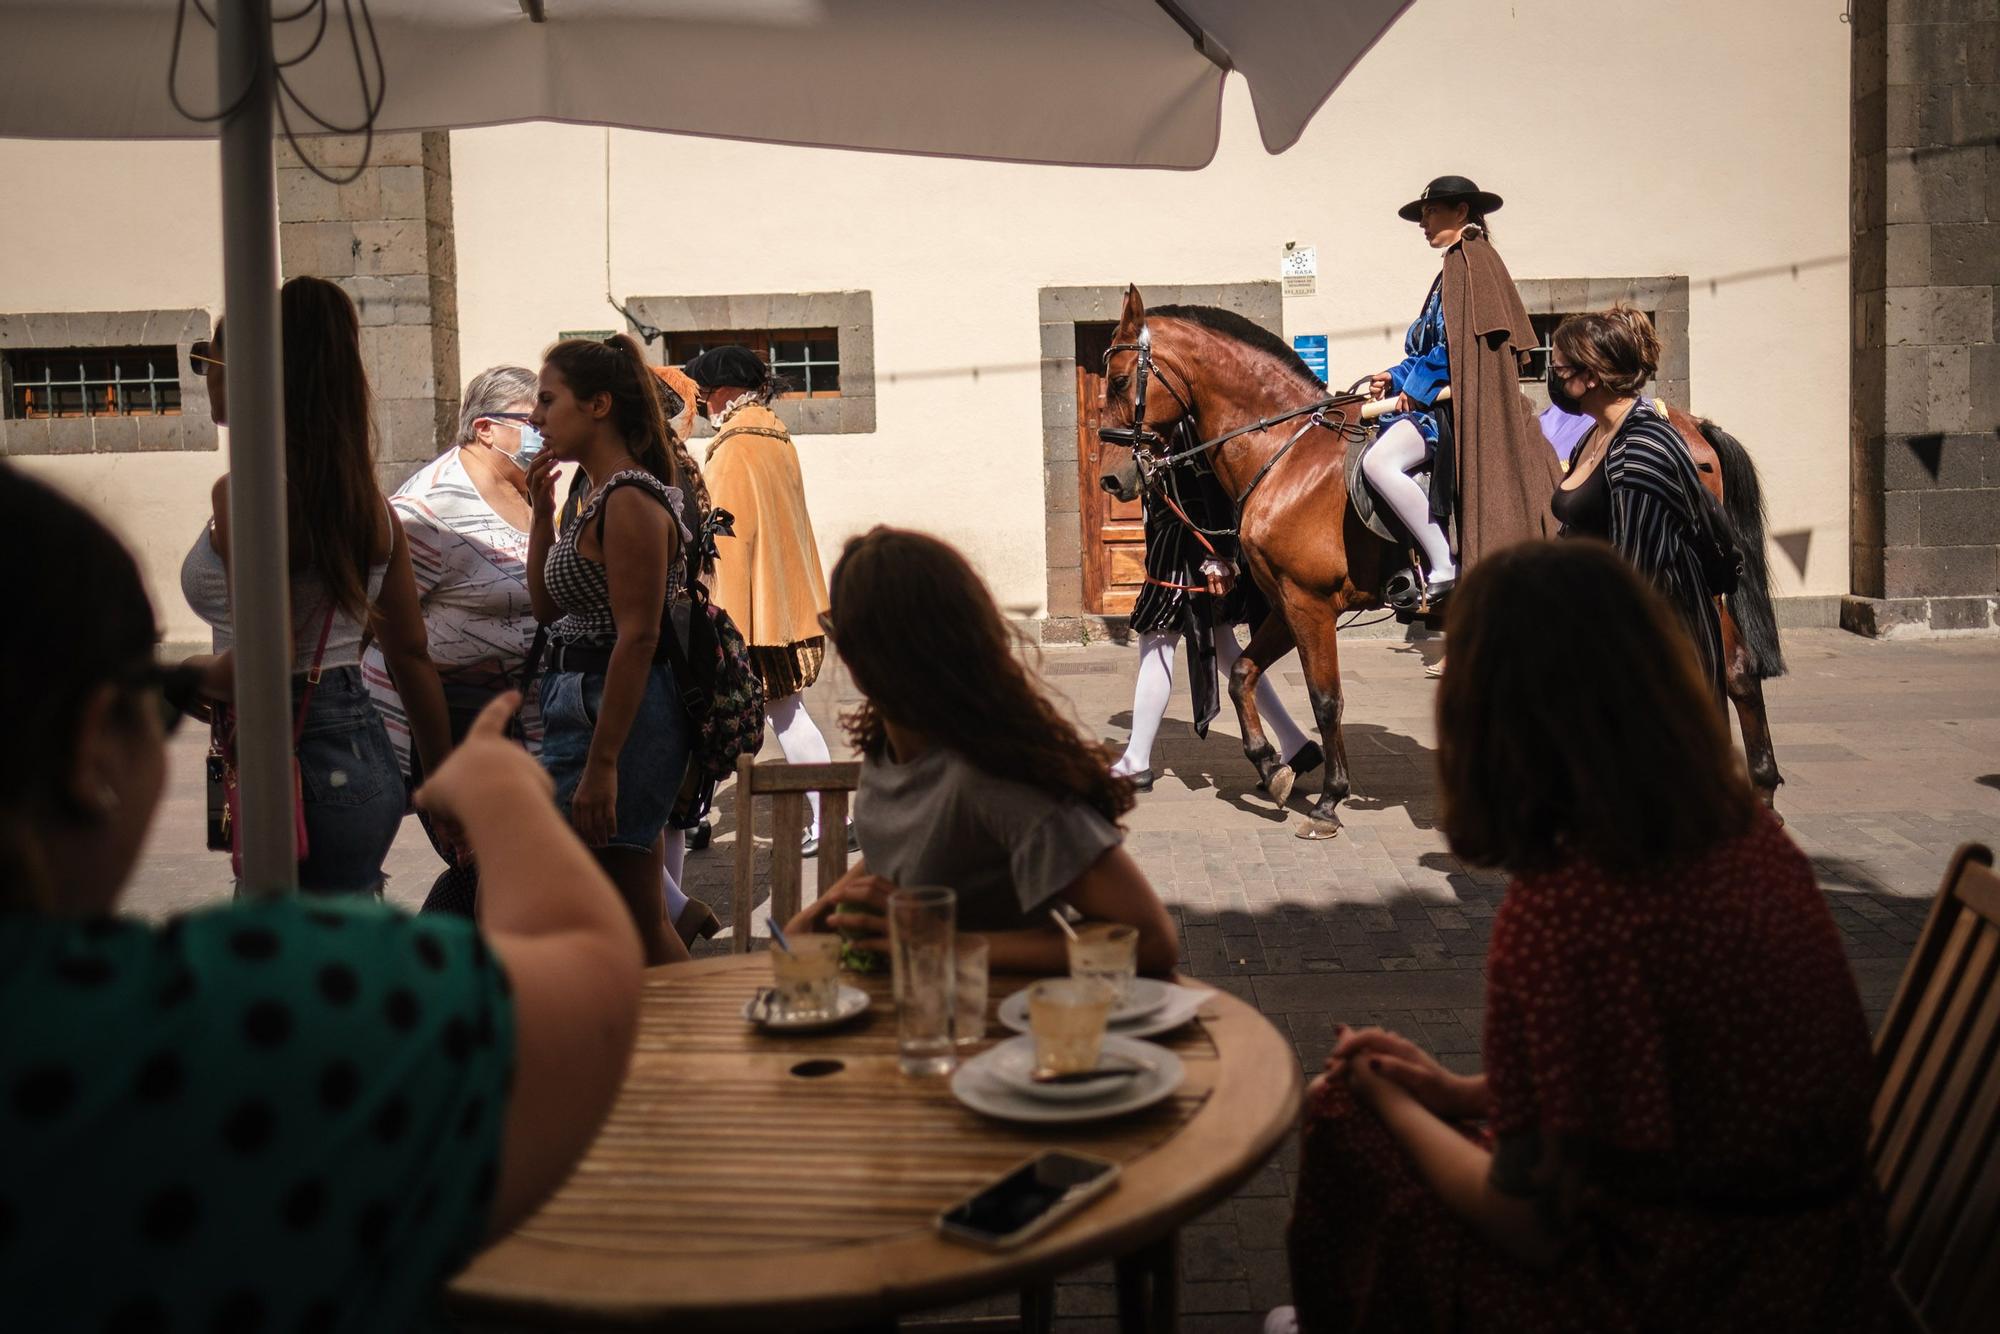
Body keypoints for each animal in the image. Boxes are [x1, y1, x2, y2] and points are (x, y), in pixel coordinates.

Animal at [1104, 288, 1792, 840]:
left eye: (1115, 379)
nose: (1113, 477)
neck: (1289, 455)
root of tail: (1689, 425)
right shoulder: (1284, 600)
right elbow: (1243, 674)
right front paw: (1273, 766)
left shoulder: (1309, 603)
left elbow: (1326, 699)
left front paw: (1328, 799)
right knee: (1737, 672)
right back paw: (1758, 787)